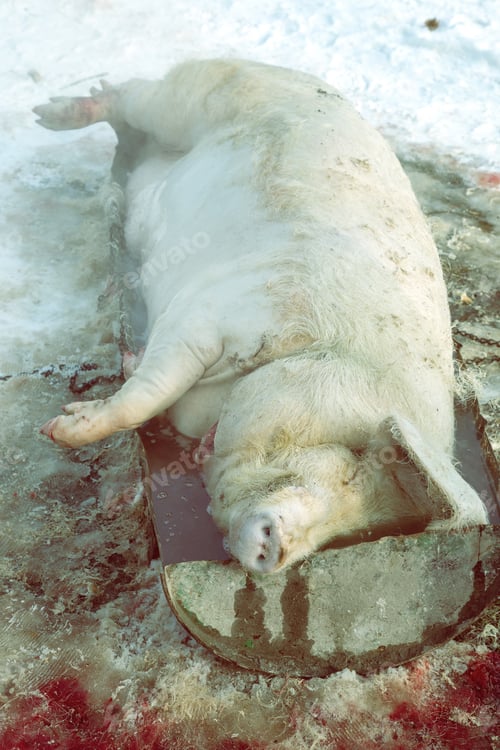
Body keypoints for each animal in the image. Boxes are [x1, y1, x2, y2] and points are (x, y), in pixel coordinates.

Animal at [35, 59, 488, 573]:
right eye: (352, 467)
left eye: (360, 530)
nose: (278, 549)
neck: (322, 351)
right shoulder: (211, 315)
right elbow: (146, 394)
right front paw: (56, 429)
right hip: (192, 97)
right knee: (131, 94)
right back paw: (46, 114)